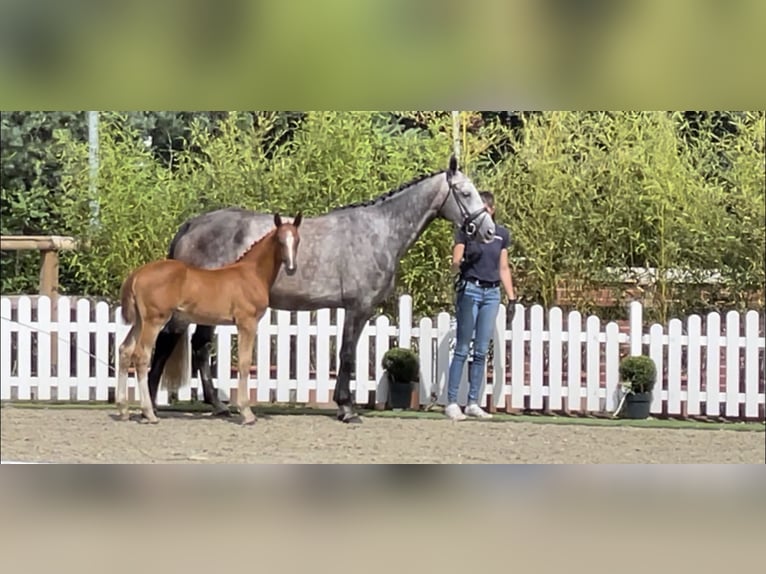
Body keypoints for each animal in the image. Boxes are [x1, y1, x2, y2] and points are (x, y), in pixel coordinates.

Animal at [115, 212, 303, 425]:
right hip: (154, 320)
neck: (250, 273)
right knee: (141, 356)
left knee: (125, 350)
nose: (291, 267)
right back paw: (149, 413)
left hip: (140, 321)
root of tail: (137, 274)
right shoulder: (247, 322)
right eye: (280, 240)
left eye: (297, 240)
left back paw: (123, 409)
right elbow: (244, 363)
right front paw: (247, 413)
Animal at [147, 155, 494, 424]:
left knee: (199, 346)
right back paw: (151, 403)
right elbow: (347, 354)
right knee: (167, 342)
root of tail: (192, 225)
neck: (379, 231)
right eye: (465, 193)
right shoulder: (357, 308)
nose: (488, 231)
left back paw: (219, 405)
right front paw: (347, 409)